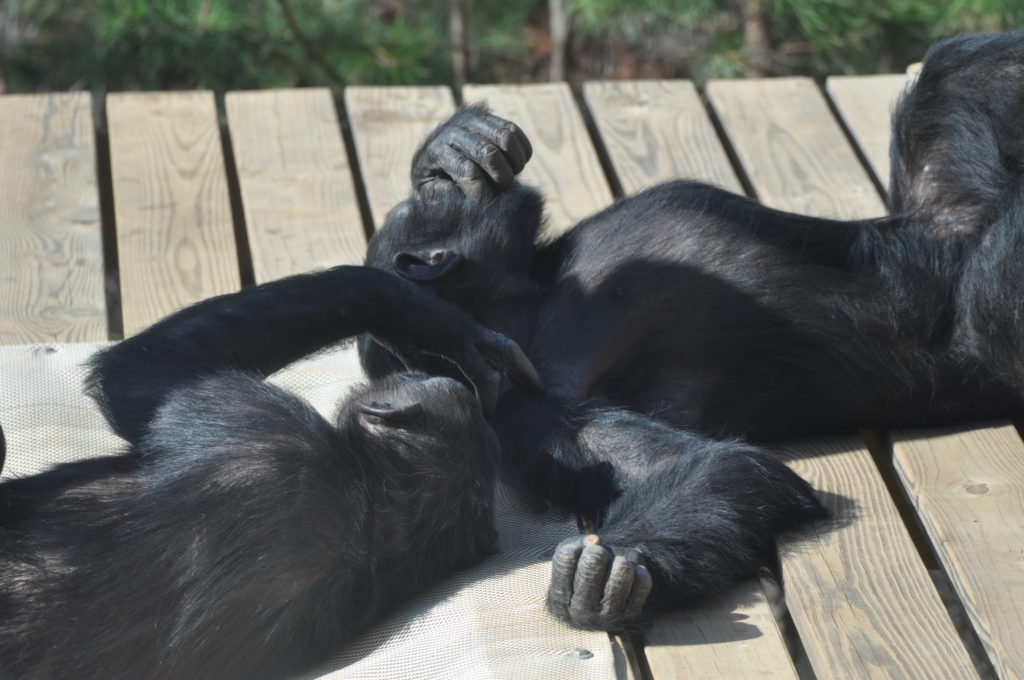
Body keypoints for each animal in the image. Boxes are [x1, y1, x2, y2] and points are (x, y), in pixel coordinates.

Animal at [0, 266, 540, 680]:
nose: (424, 371)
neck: (372, 507)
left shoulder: (254, 422)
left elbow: (134, 376)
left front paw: (417, 313)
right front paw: (434, 326)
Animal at [358, 27, 1024, 630]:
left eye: (424, 198)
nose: (434, 185)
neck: (528, 310)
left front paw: (452, 149)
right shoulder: (539, 420)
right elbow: (725, 467)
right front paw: (611, 573)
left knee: (961, 72)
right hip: (994, 330)